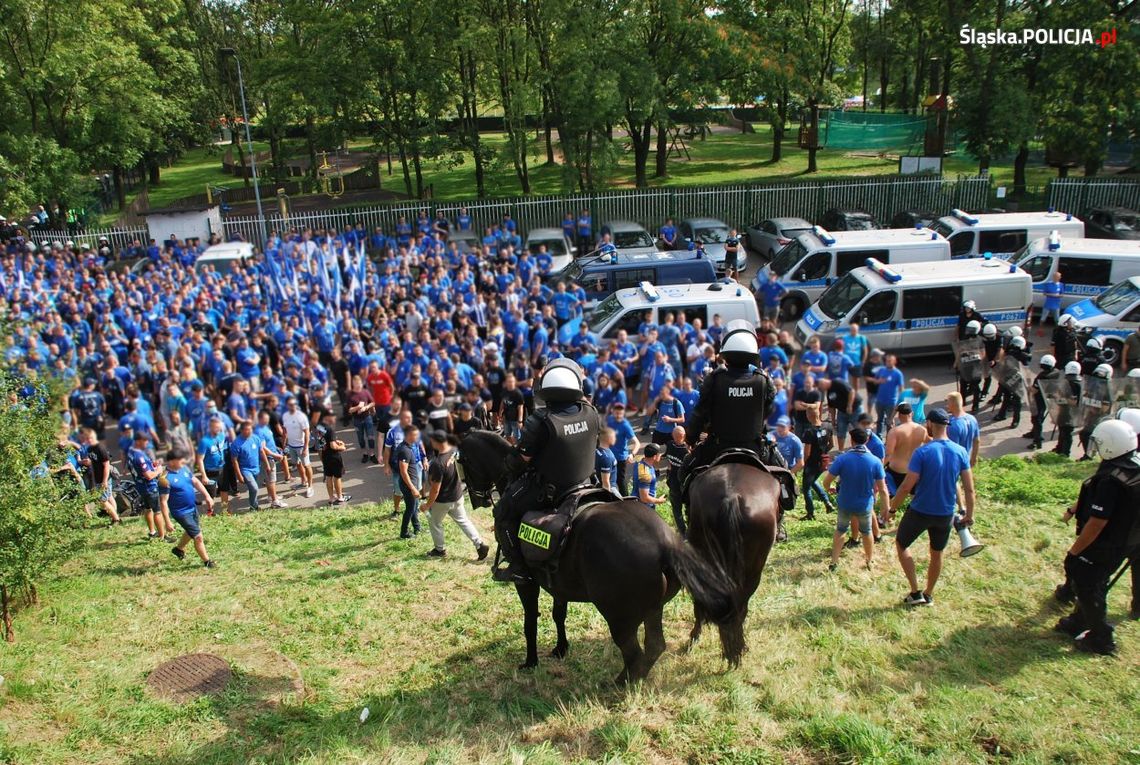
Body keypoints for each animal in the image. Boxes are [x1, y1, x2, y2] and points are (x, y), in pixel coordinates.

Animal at [456, 430, 734, 688]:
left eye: (463, 462)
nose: (476, 499)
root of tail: (665, 543)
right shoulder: (559, 586)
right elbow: (558, 614)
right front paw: (561, 648)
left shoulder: (526, 583)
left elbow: (530, 620)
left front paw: (531, 661)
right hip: (653, 609)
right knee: (654, 646)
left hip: (619, 617)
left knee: (634, 653)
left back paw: (620, 682)